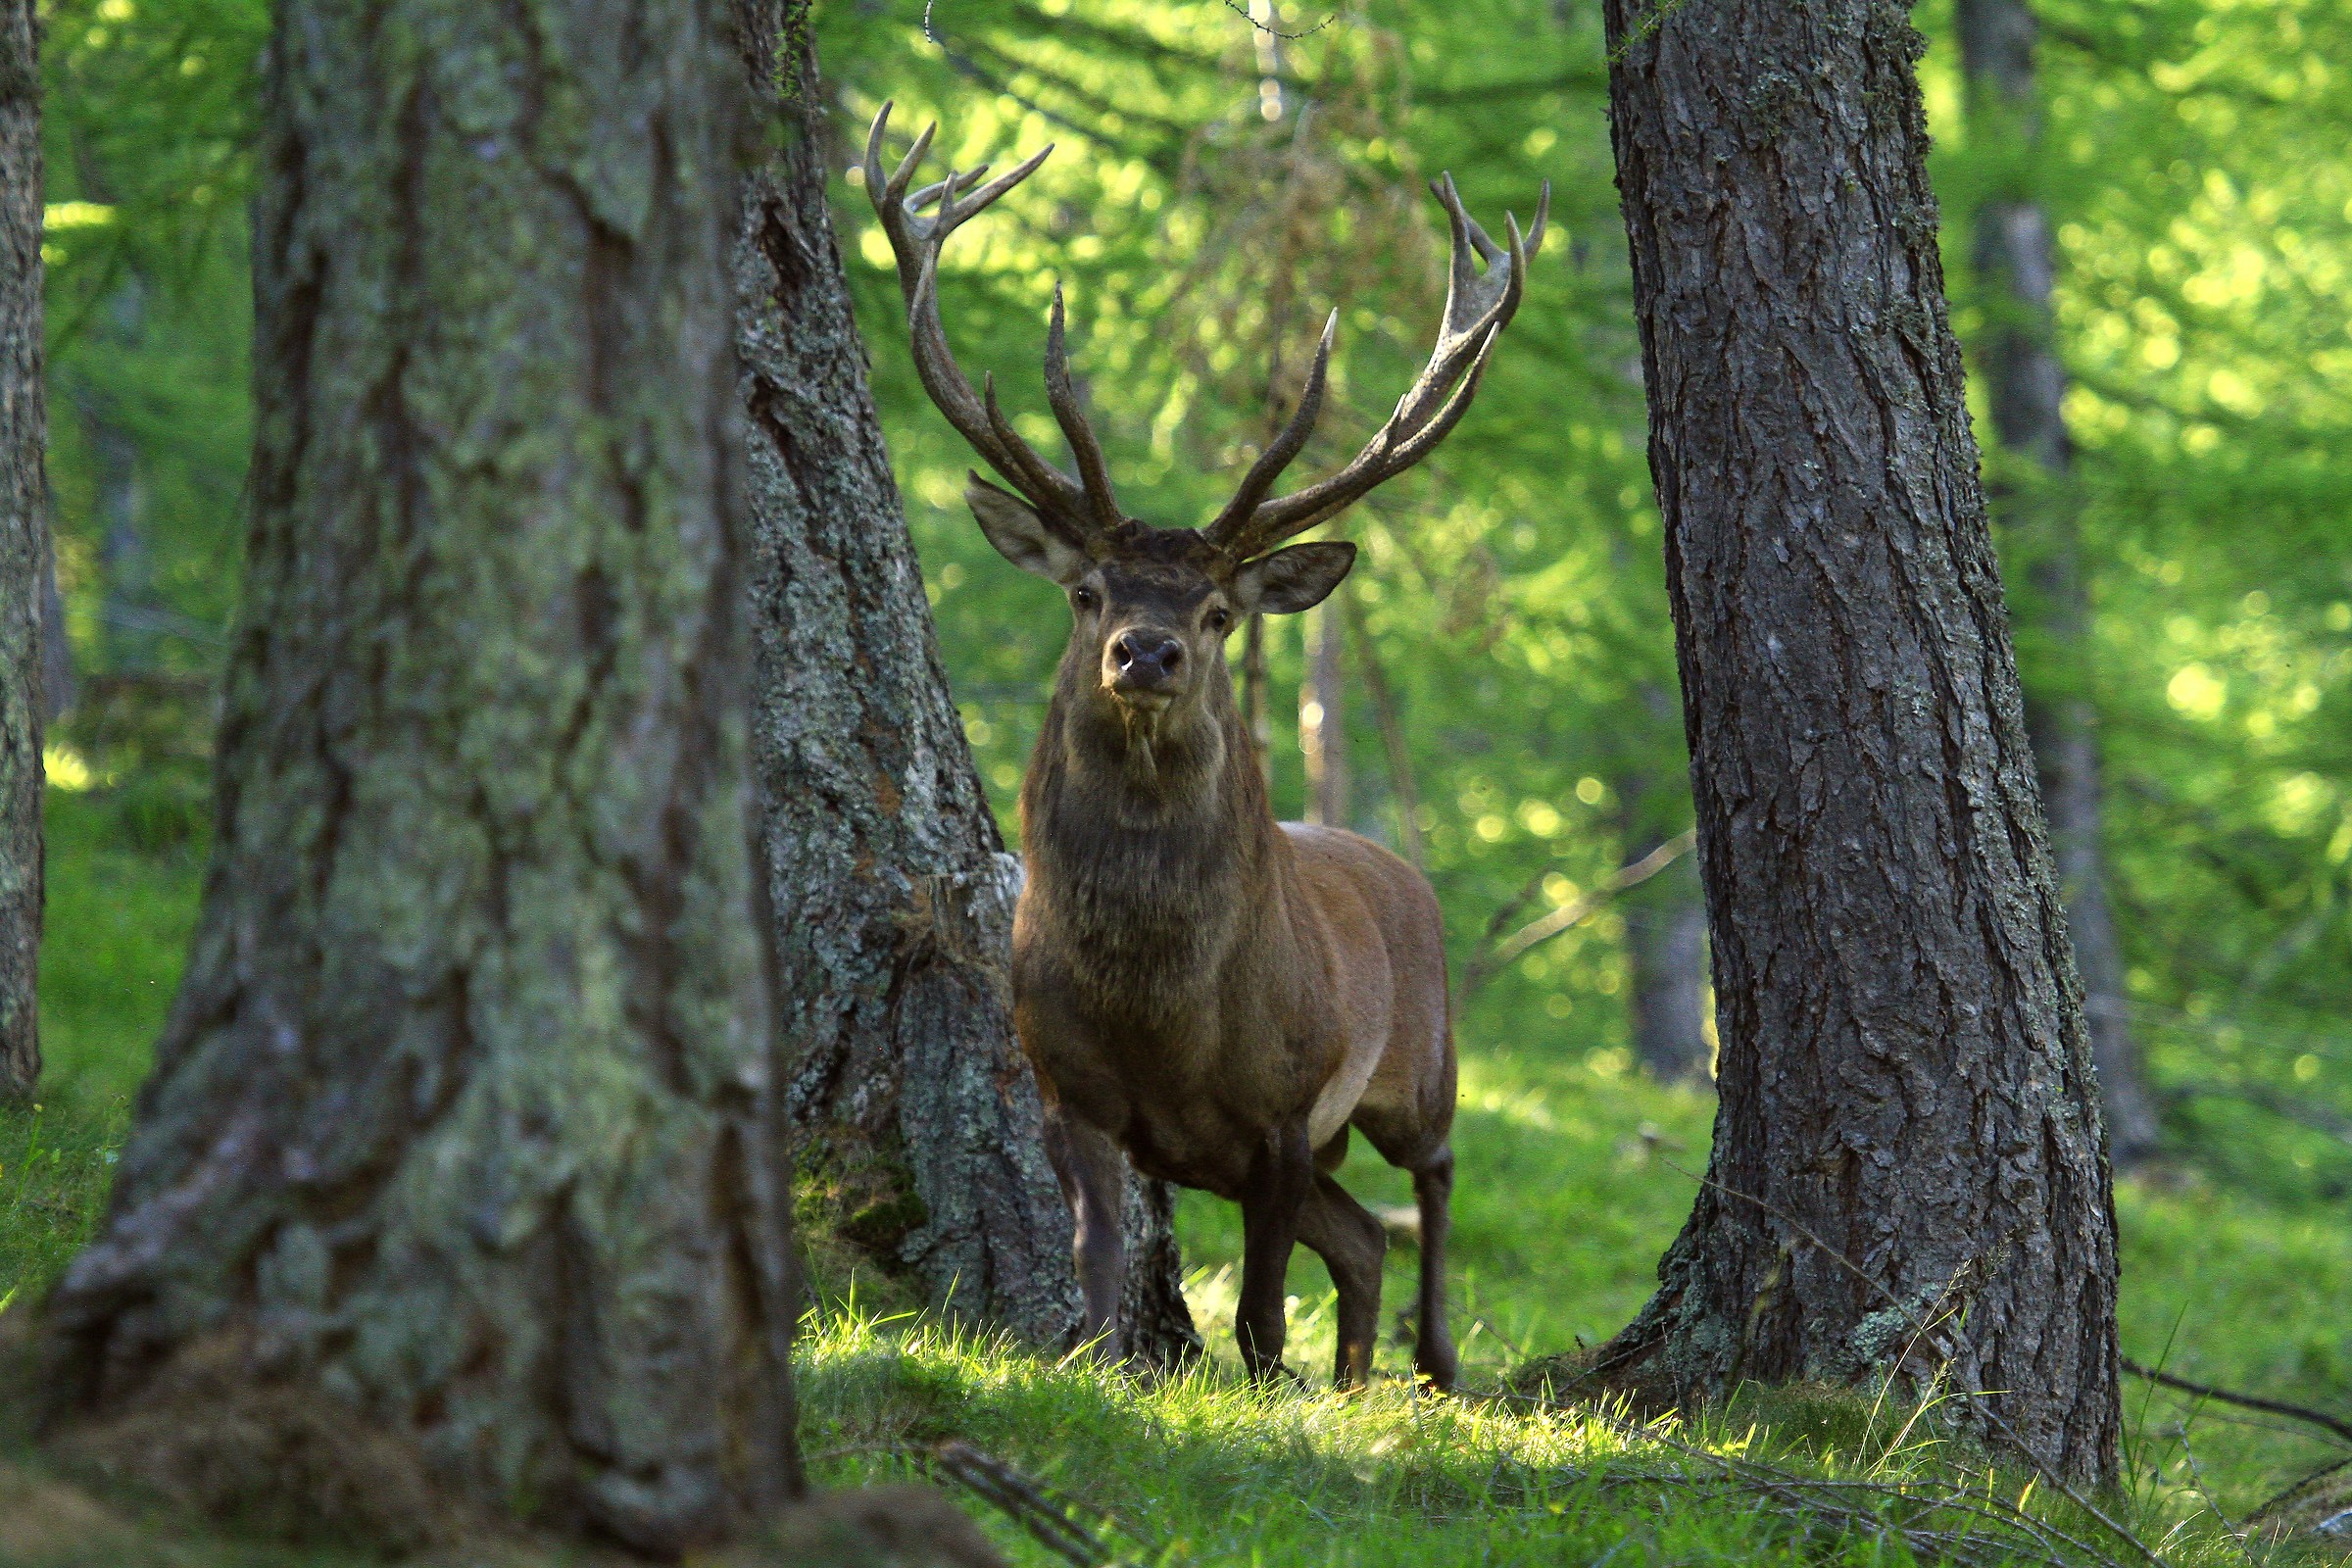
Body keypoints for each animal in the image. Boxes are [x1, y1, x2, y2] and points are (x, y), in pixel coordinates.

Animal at [861, 104, 1545, 1390]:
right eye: (1086, 591)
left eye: (1222, 611)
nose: (1148, 651)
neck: (1162, 1014)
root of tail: (1398, 865)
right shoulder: (1068, 1086)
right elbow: (1097, 1267)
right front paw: (1093, 1364)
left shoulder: (1283, 1110)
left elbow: (1260, 1315)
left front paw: (1271, 1389)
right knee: (1363, 1238)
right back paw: (1356, 1379)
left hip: (1418, 1064)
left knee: (1430, 1183)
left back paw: (1432, 1360)